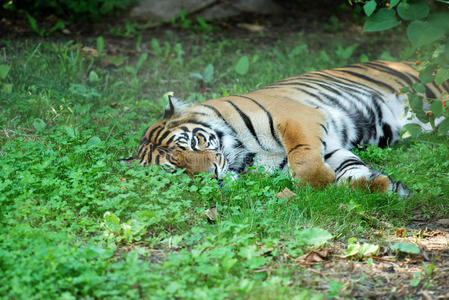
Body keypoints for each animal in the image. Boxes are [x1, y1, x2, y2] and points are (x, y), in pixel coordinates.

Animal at [122, 60, 448, 197]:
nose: (212, 174)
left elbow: (304, 162)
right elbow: (349, 169)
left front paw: (320, 182)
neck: (241, 154)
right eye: (177, 171)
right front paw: (385, 186)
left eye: (193, 144)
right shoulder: (330, 147)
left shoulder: (296, 117)